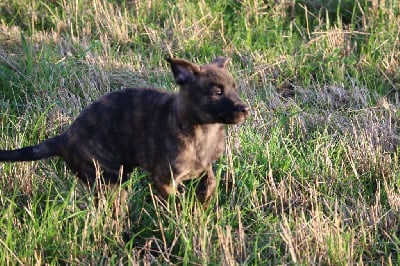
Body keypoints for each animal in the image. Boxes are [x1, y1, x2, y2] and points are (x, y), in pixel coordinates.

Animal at [0, 56, 248, 202]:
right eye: (217, 92)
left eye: (235, 88)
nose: (246, 109)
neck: (203, 129)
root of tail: (65, 137)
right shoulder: (165, 179)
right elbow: (175, 201)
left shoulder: (203, 166)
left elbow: (210, 179)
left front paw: (205, 199)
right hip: (108, 180)